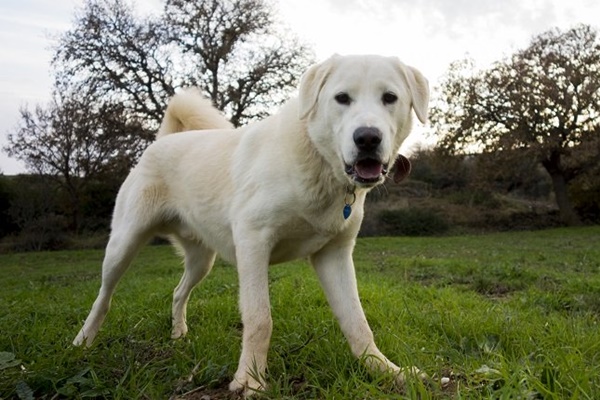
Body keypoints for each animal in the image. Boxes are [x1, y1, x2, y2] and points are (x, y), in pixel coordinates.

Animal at [75, 54, 428, 396]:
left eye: (389, 98)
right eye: (342, 98)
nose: (367, 138)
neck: (317, 159)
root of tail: (163, 141)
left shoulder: (334, 255)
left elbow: (357, 322)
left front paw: (387, 371)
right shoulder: (253, 243)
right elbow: (260, 319)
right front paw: (250, 381)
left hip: (202, 261)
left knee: (177, 292)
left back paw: (178, 334)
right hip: (123, 245)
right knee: (102, 297)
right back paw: (83, 341)